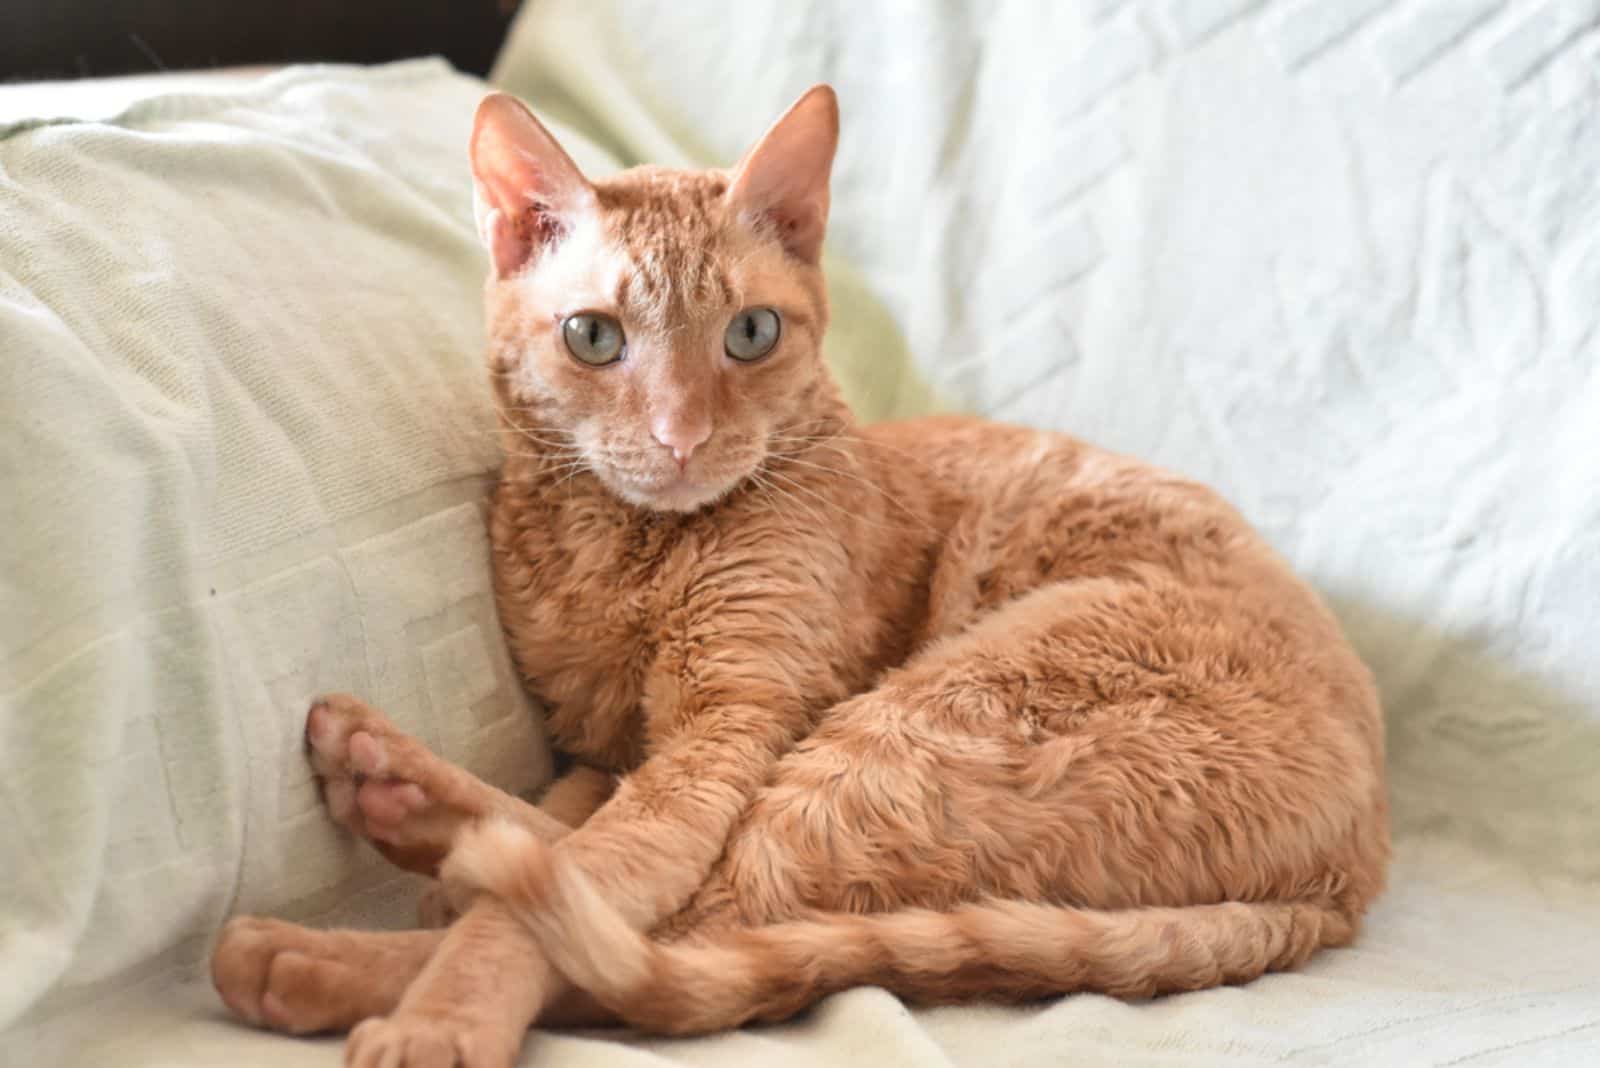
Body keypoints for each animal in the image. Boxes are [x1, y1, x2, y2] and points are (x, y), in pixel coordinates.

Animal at [212, 85, 1388, 1068]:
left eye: (750, 332)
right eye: (592, 337)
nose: (682, 437)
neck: (619, 550)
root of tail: (1357, 868)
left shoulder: (729, 728)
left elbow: (591, 879)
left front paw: (447, 1017)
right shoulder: (606, 742)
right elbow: (584, 819)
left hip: (912, 733)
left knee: (688, 940)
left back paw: (311, 957)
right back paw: (394, 792)